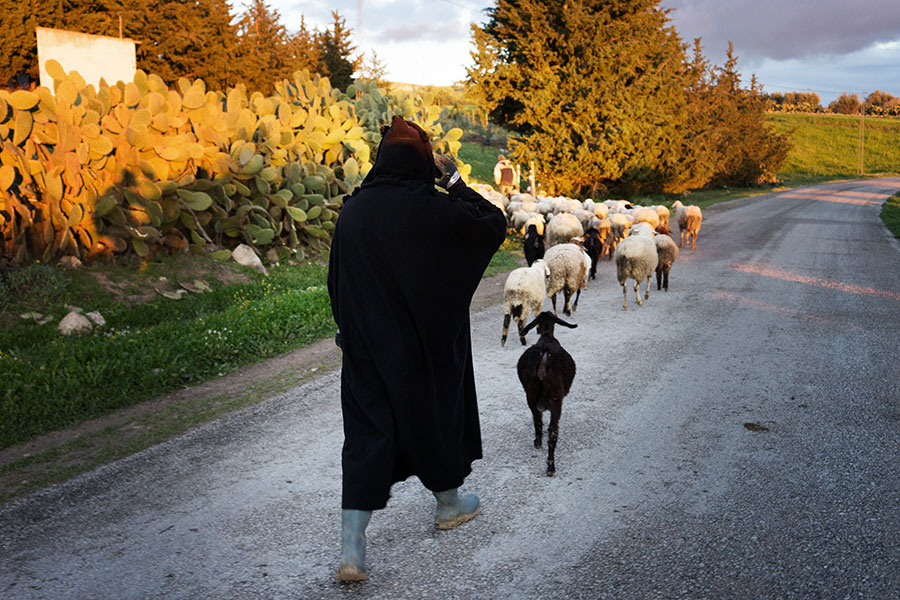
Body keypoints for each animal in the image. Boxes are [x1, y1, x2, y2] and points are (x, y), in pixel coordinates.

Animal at [512, 312, 576, 476]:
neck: (547, 336)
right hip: (556, 399)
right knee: (552, 431)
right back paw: (550, 467)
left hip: (531, 395)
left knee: (537, 420)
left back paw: (538, 443)